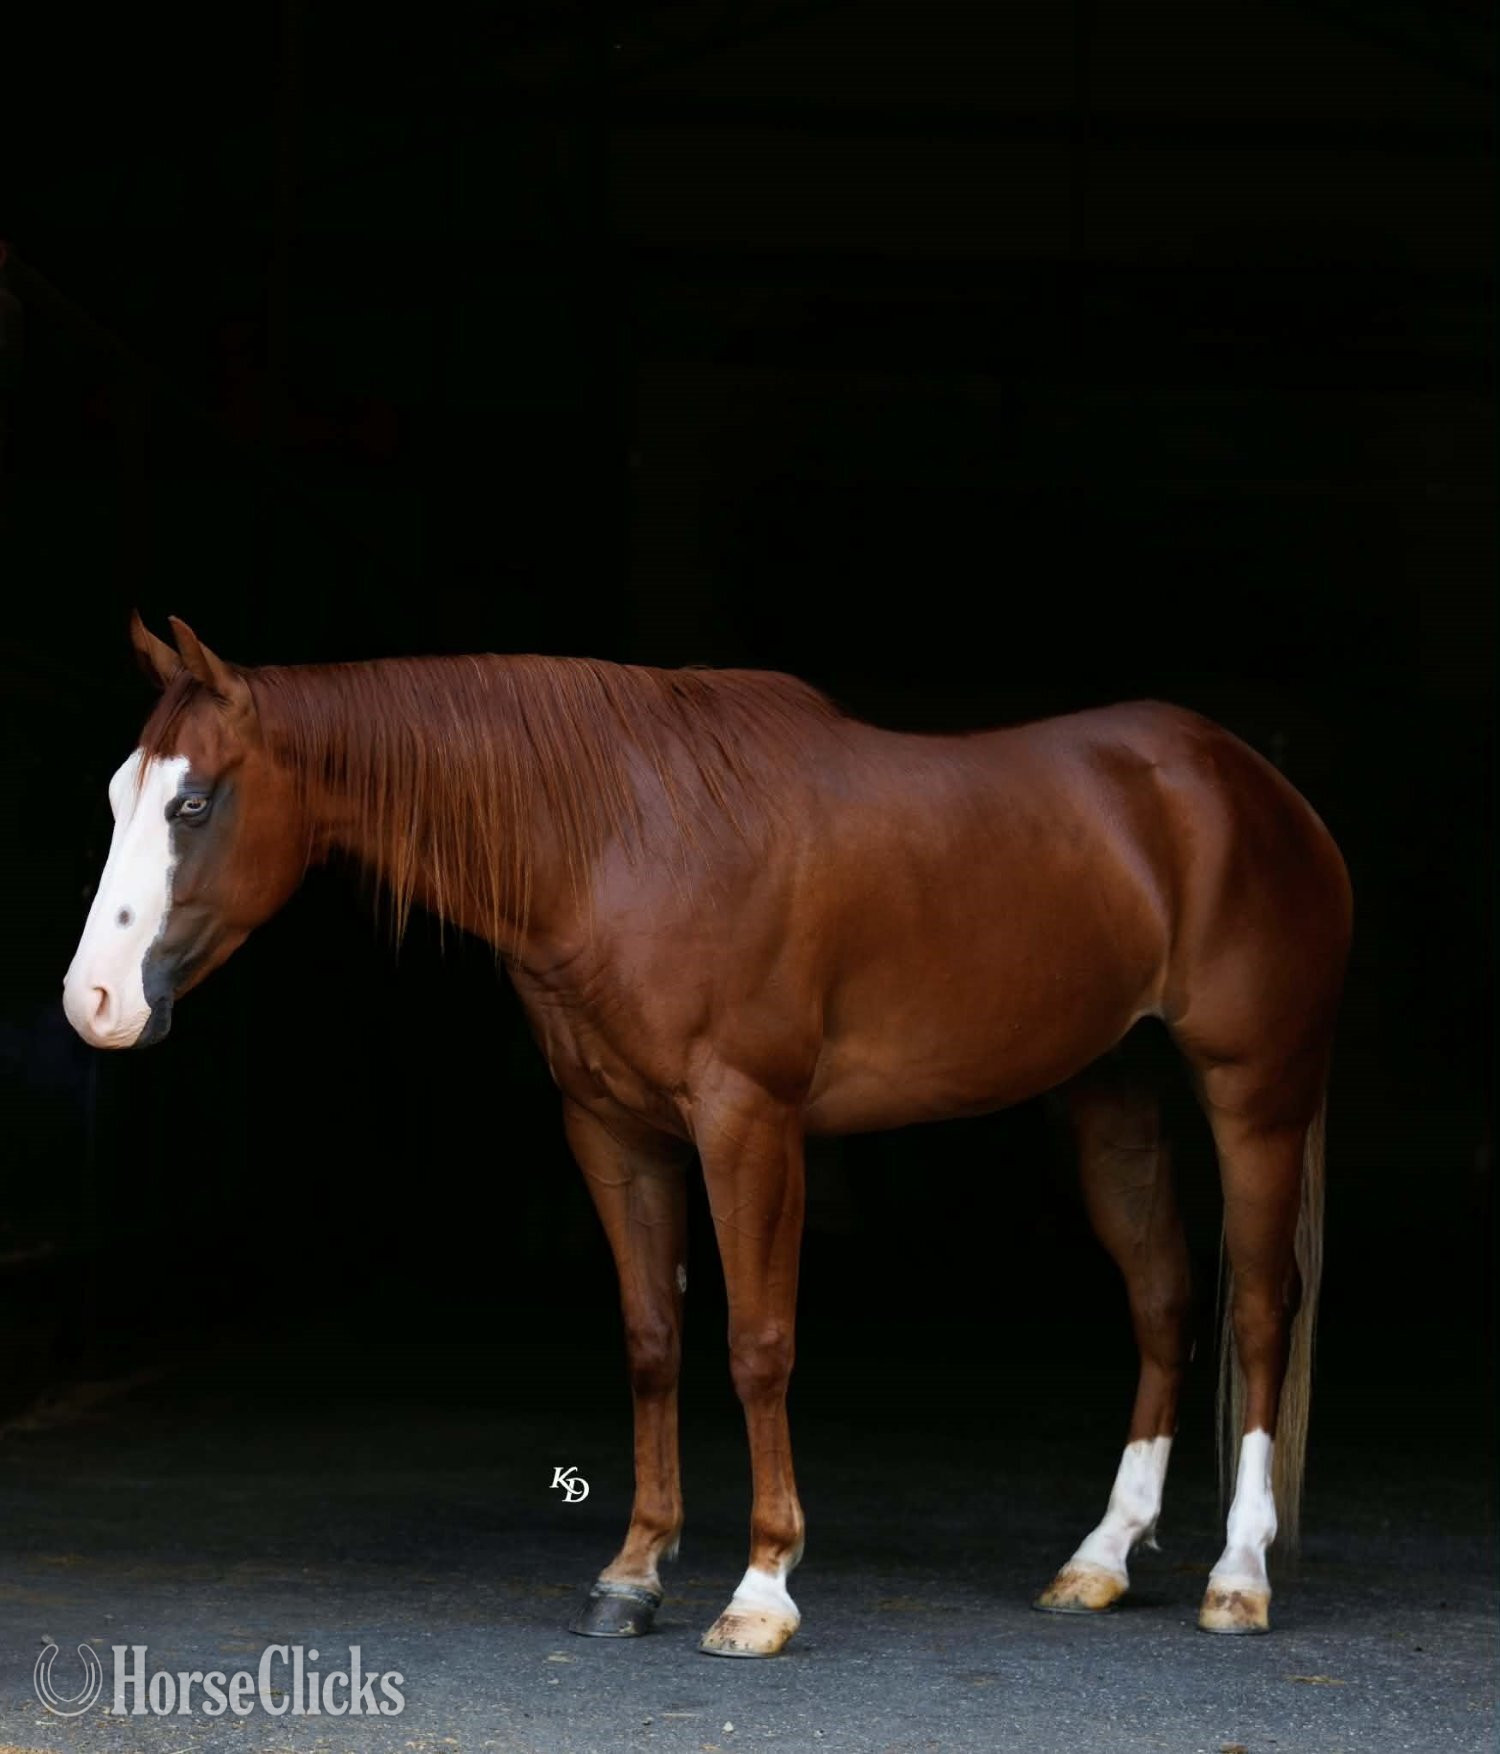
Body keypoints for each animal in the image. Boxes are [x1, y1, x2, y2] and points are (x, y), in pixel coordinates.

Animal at [63, 614, 1351, 1657]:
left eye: (194, 801)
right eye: (120, 797)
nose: (94, 1002)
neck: (627, 835)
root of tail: (1253, 783)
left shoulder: (749, 1121)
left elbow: (756, 1343)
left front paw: (761, 1588)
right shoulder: (612, 1129)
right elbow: (651, 1338)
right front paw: (632, 1574)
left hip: (1254, 1090)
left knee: (1258, 1306)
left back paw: (1237, 1576)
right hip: (1111, 1093)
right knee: (1165, 1300)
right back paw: (1099, 1558)